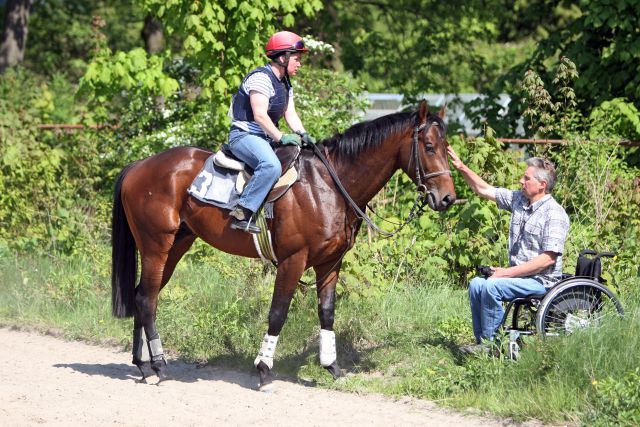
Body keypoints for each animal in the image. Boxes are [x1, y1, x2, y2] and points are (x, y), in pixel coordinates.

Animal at [112, 100, 458, 388]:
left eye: (447, 147)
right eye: (429, 147)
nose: (447, 198)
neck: (328, 185)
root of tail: (138, 166)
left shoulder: (330, 263)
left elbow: (327, 312)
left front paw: (332, 367)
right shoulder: (294, 259)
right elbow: (278, 312)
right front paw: (264, 369)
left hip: (176, 245)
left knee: (143, 295)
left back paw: (143, 365)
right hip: (156, 246)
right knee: (147, 300)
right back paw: (159, 366)